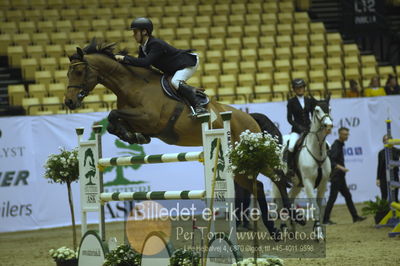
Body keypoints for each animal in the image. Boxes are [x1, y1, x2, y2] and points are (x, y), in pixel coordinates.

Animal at [63, 39, 300, 237]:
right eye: (68, 73)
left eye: (79, 71)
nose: (69, 102)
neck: (132, 86)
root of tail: (250, 118)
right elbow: (114, 121)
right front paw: (132, 136)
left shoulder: (149, 118)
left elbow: (113, 113)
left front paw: (131, 135)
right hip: (239, 163)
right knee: (259, 185)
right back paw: (279, 227)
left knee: (275, 179)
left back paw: (290, 221)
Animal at [272, 97, 334, 241]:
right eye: (317, 110)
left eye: (329, 108)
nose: (328, 125)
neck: (317, 151)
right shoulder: (308, 183)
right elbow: (315, 207)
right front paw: (319, 233)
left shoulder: (322, 184)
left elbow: (318, 207)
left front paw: (317, 231)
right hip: (278, 182)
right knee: (281, 203)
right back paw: (284, 229)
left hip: (297, 184)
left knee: (290, 199)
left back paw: (292, 228)